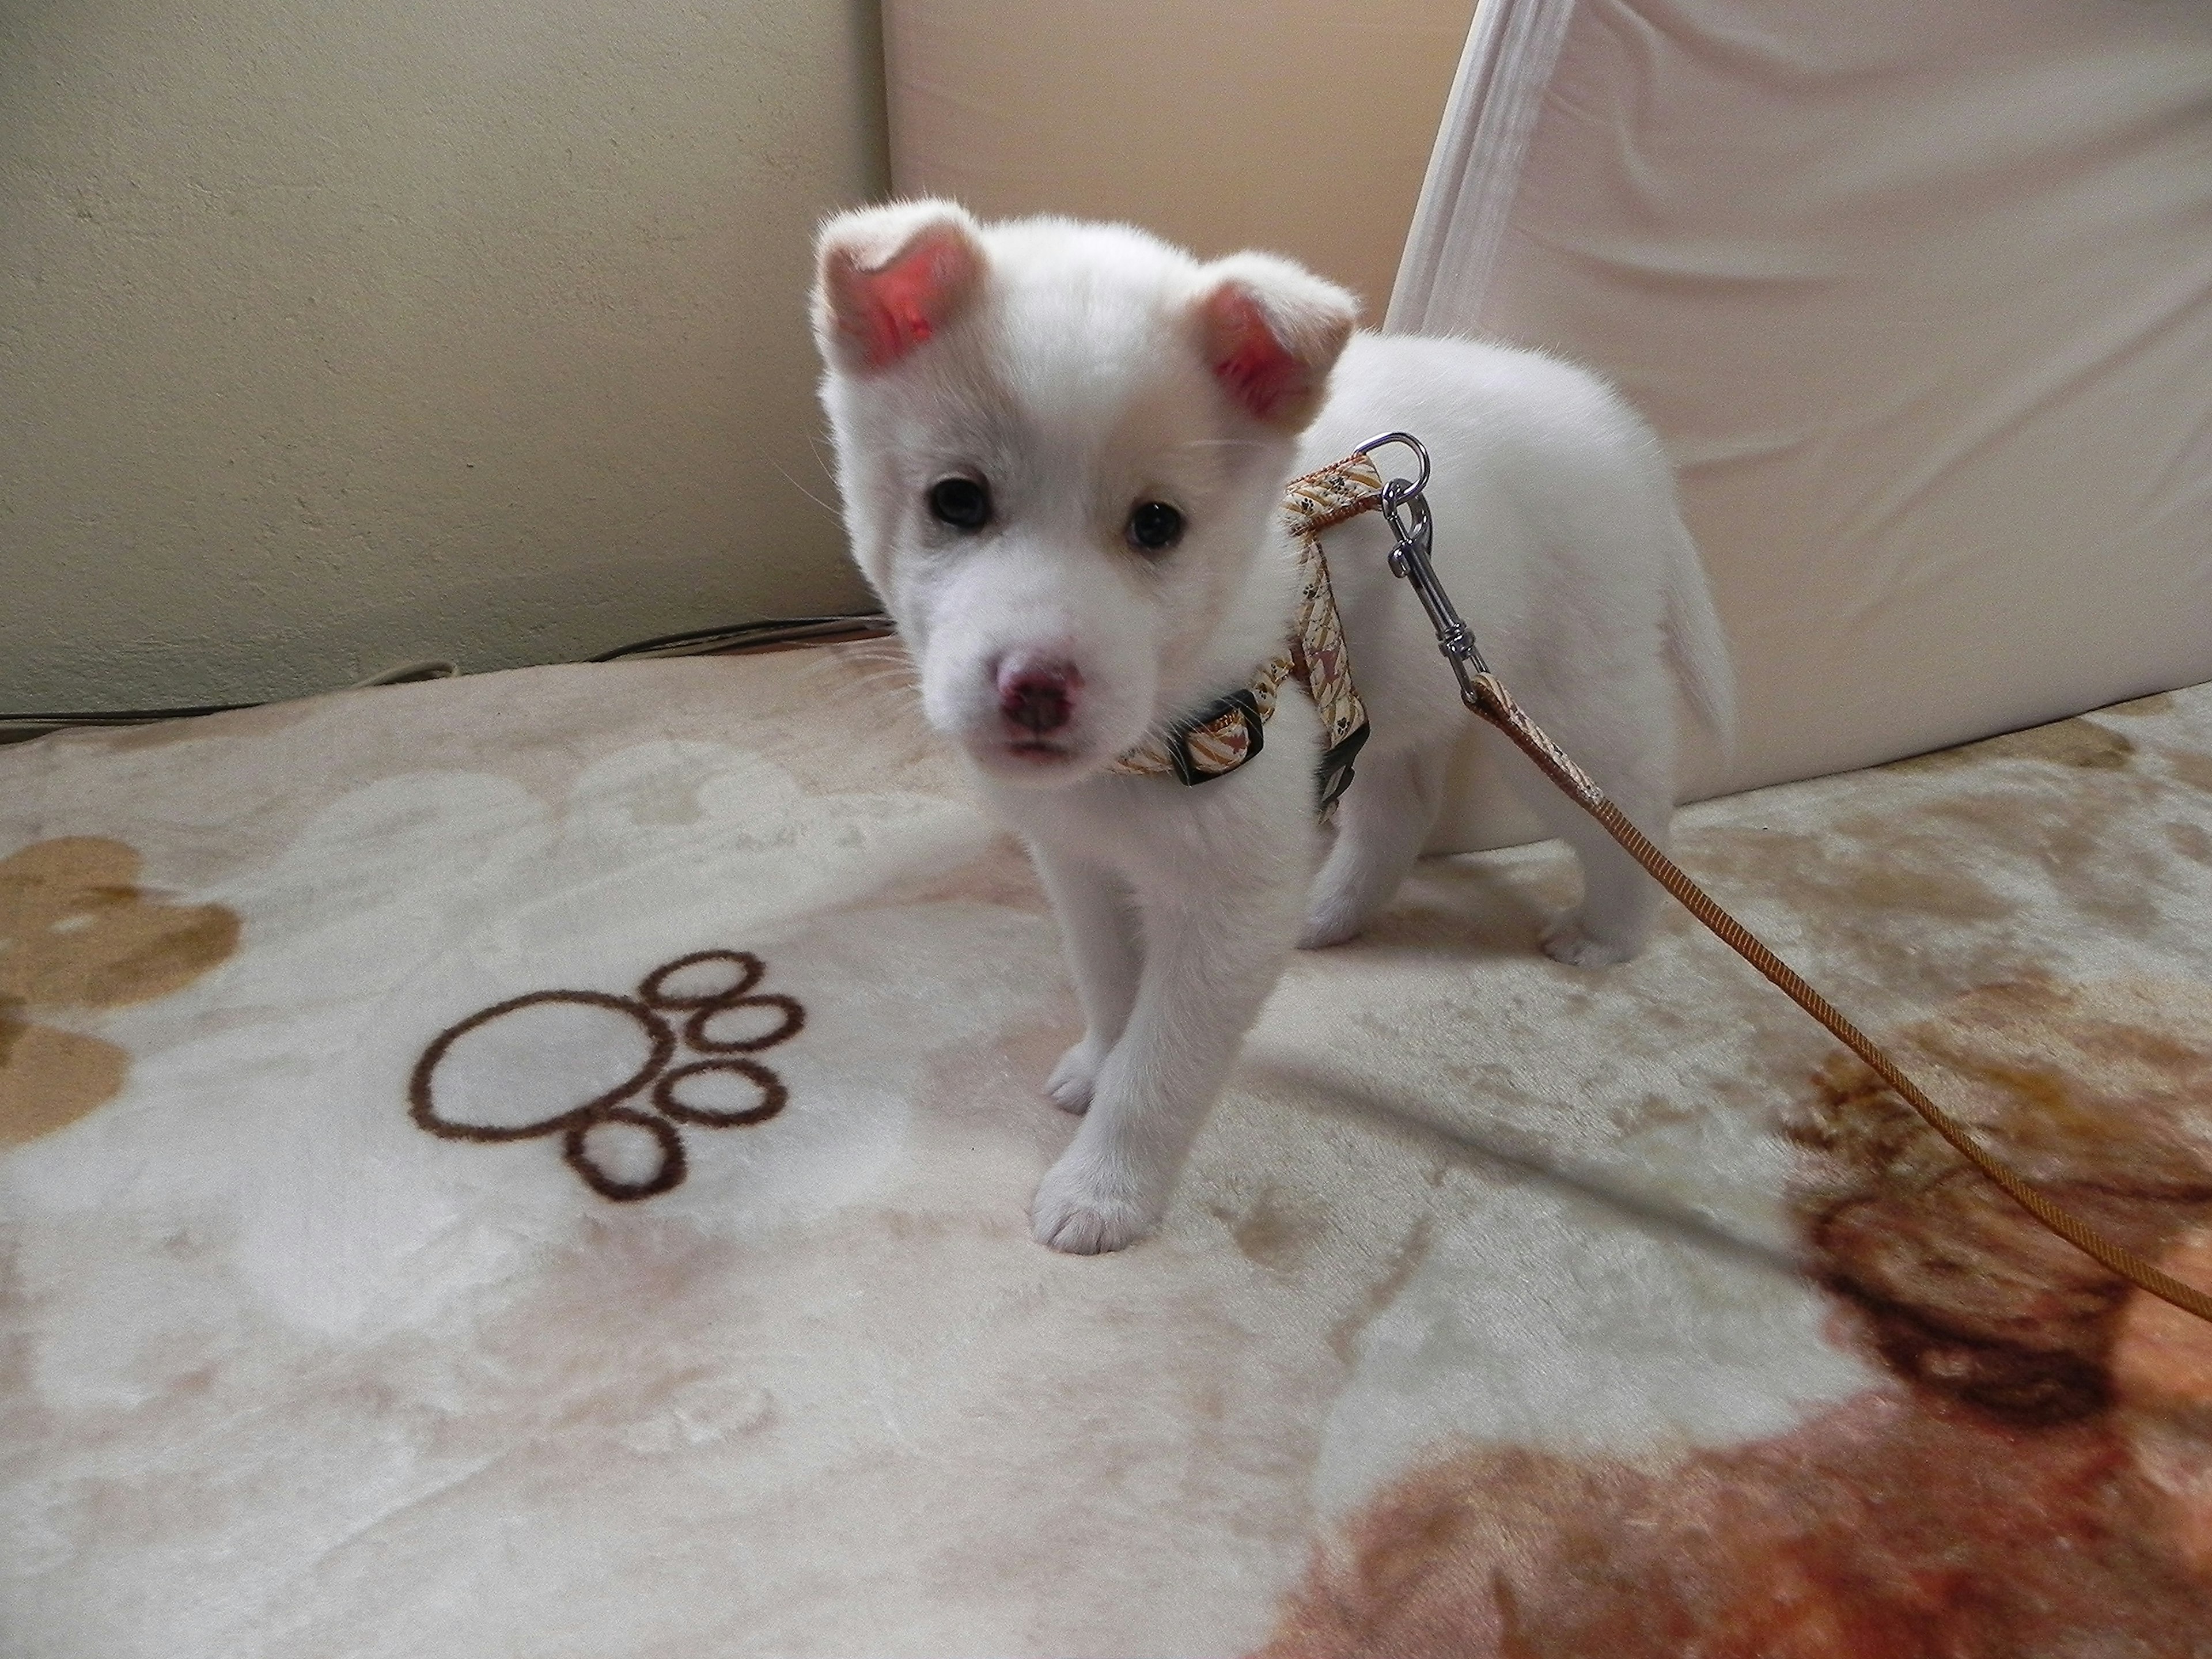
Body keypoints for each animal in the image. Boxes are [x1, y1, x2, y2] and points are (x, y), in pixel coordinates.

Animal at [814, 201, 1725, 1256]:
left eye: (1157, 524)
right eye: (956, 499)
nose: (1036, 689)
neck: (1153, 734)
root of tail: (1623, 432)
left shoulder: (1227, 901)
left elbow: (1162, 1064)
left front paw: (1105, 1188)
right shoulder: (1080, 864)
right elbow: (1111, 988)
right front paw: (1097, 1065)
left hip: (1568, 696)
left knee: (1632, 813)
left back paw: (1611, 933)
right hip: (1400, 682)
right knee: (1403, 806)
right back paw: (1331, 908)